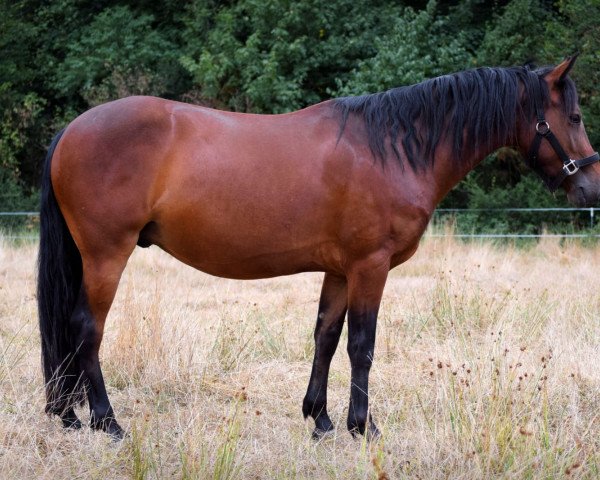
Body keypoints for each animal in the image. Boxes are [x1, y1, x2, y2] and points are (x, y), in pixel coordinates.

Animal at [37, 55, 600, 438]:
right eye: (573, 117)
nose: (591, 187)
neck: (391, 147)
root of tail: (71, 130)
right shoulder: (371, 267)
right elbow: (362, 345)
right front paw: (362, 427)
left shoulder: (340, 270)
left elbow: (326, 338)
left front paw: (321, 419)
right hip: (107, 256)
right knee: (86, 329)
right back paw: (106, 422)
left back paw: (67, 415)